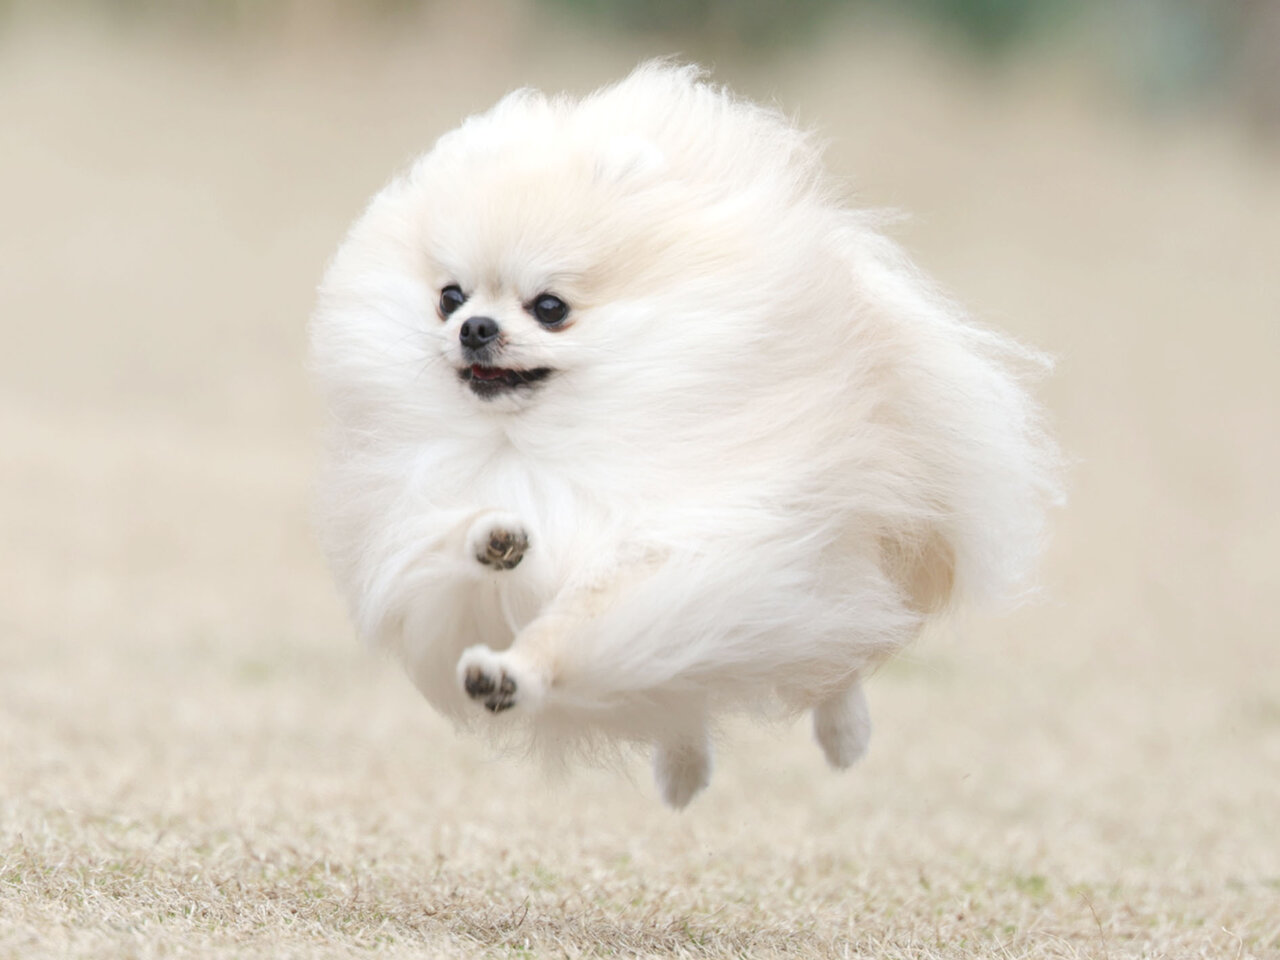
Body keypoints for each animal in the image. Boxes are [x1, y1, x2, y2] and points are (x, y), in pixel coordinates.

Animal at [310, 63, 1061, 808]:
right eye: (450, 297)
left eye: (549, 307)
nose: (475, 328)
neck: (539, 443)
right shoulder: (429, 558)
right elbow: (451, 544)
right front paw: (493, 538)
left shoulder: (688, 539)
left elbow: (581, 619)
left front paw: (515, 672)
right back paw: (683, 771)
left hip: (833, 551)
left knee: (838, 649)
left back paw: (844, 736)